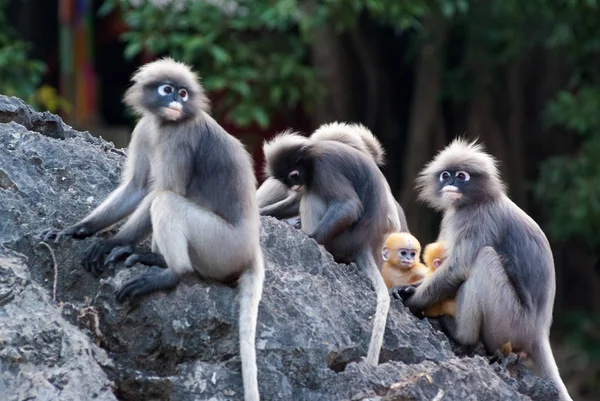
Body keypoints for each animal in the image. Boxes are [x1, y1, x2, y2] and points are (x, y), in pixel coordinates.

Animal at [42, 57, 264, 400]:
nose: (176, 102)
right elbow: (136, 187)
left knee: (166, 202)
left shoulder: (181, 138)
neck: (164, 124)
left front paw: (113, 243)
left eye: (183, 93)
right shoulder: (145, 128)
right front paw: (78, 229)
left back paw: (170, 272)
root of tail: (252, 247)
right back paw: (153, 258)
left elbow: (162, 190)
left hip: (222, 246)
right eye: (167, 90)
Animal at [262, 132, 394, 366]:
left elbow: (347, 205)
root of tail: (364, 243)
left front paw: (307, 238)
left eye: (292, 176)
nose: (294, 186)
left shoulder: (324, 168)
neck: (311, 155)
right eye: (285, 181)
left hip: (342, 239)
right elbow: (294, 201)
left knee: (313, 196)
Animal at [392, 138, 576, 400]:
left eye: (461, 176)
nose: (450, 183)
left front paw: (412, 301)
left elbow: (458, 268)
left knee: (484, 259)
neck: (477, 200)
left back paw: (460, 334)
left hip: (511, 322)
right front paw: (408, 288)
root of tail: (540, 332)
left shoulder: (481, 219)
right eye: (446, 175)